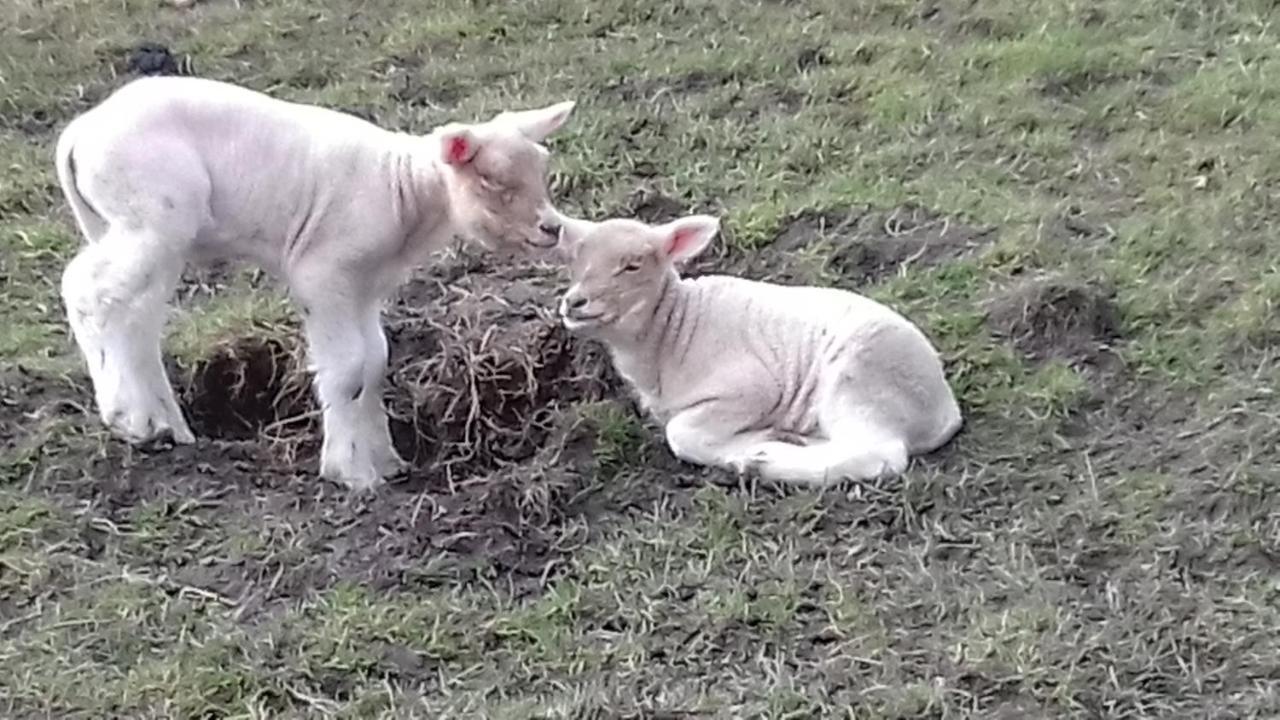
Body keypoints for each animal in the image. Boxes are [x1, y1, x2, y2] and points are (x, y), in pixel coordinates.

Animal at [55, 77, 576, 486]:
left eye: (542, 170)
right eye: (492, 180)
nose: (552, 228)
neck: (403, 188)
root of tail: (78, 133)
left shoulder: (365, 284)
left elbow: (374, 362)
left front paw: (386, 461)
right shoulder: (324, 272)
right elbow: (347, 369)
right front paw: (352, 473)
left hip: (137, 227)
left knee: (133, 314)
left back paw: (166, 424)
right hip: (150, 216)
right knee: (86, 289)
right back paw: (129, 417)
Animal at [558, 212, 962, 481]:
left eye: (632, 266)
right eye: (575, 263)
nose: (573, 302)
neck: (672, 331)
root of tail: (945, 410)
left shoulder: (752, 388)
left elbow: (682, 434)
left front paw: (746, 447)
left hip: (859, 383)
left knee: (879, 454)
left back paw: (769, 457)